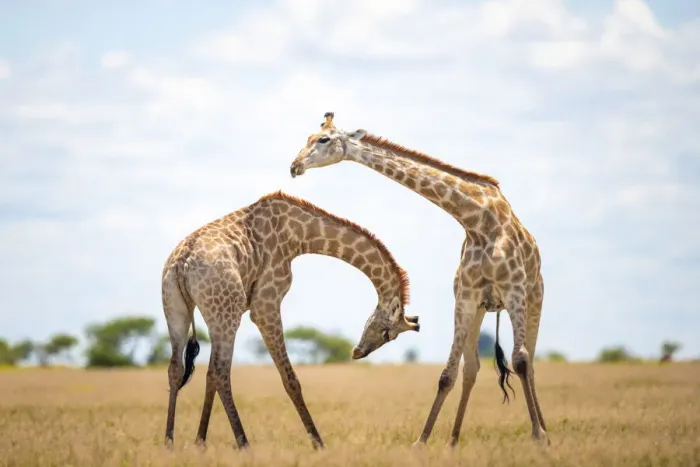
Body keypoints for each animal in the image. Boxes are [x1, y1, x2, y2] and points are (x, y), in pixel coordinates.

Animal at [161, 190, 418, 450]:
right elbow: (290, 379)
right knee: (221, 371)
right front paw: (318, 443)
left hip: (177, 309)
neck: (298, 234)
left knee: (180, 368)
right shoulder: (265, 304)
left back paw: (169, 442)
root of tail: (182, 264)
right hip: (226, 312)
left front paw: (199, 442)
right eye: (388, 333)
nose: (357, 352)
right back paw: (244, 444)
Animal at [289, 112, 550, 448]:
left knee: (529, 362)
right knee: (472, 368)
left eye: (323, 139)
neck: (478, 221)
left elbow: (520, 361)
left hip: (535, 298)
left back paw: (543, 429)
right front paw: (422, 442)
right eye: (307, 137)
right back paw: (453, 441)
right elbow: (448, 374)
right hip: (483, 308)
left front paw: (539, 437)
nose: (294, 166)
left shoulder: (515, 291)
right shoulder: (465, 297)